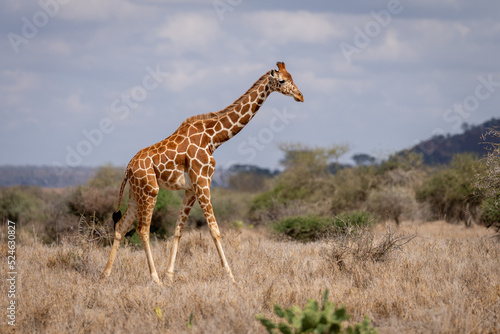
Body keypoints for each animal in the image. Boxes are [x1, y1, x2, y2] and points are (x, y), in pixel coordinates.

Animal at [101, 60, 302, 284]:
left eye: (292, 77)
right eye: (282, 81)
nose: (300, 96)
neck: (213, 138)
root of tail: (128, 167)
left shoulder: (191, 188)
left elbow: (178, 230)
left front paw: (170, 276)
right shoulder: (203, 181)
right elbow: (215, 230)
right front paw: (231, 277)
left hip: (136, 193)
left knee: (121, 226)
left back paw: (105, 275)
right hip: (150, 191)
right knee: (142, 229)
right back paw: (155, 279)